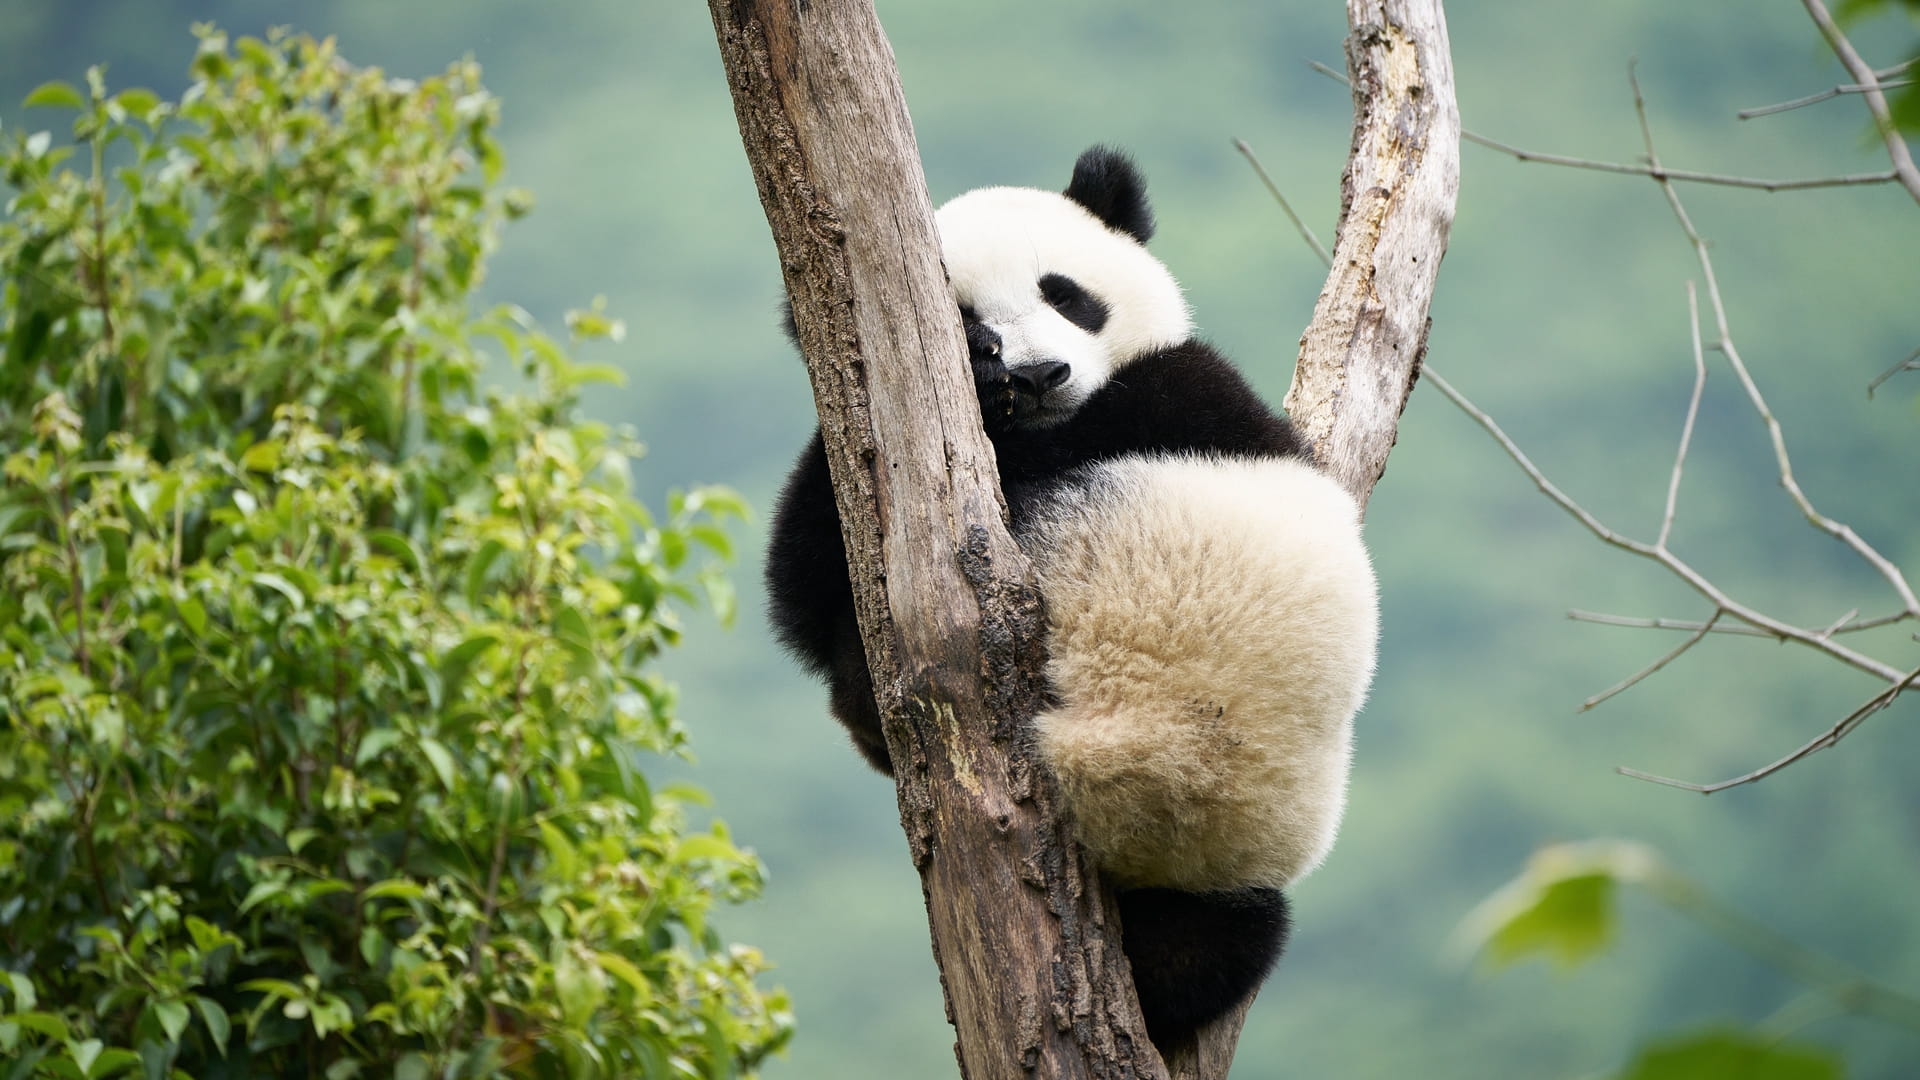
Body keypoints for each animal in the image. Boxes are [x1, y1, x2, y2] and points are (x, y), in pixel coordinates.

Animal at [764, 146, 1378, 1047]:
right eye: (968, 318)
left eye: (1064, 293)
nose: (1039, 372)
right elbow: (804, 584)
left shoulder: (1183, 396)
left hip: (1227, 845)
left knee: (1215, 945)